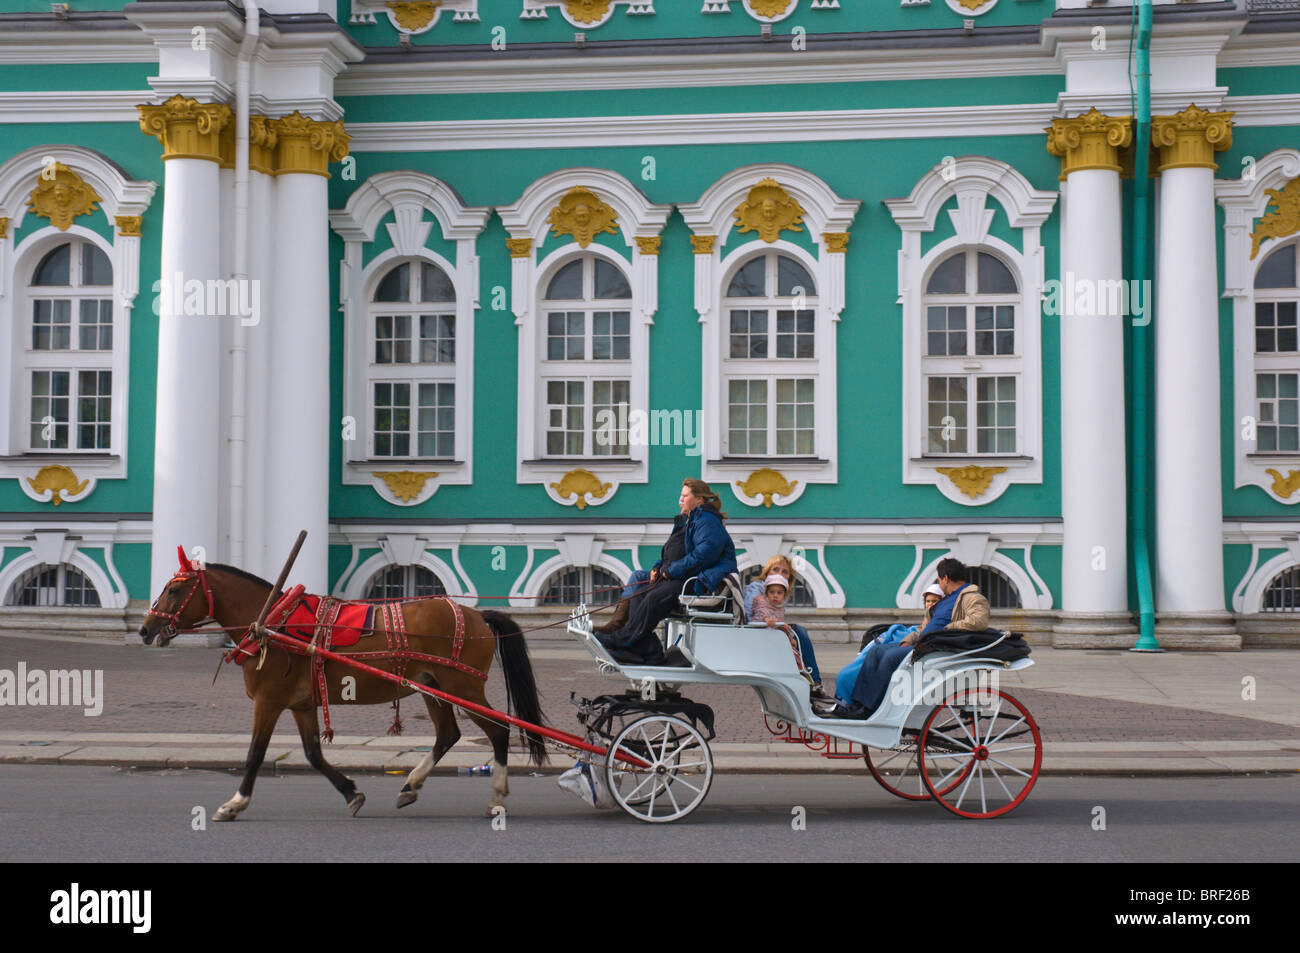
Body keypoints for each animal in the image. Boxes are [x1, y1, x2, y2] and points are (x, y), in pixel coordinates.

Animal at [139, 553, 546, 821]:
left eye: (175, 589)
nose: (144, 628)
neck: (272, 622)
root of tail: (476, 614)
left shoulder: (268, 702)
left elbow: (255, 753)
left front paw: (235, 803)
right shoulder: (301, 704)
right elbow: (312, 753)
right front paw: (351, 792)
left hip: (463, 687)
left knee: (499, 730)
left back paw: (496, 797)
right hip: (433, 689)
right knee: (448, 735)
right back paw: (411, 786)